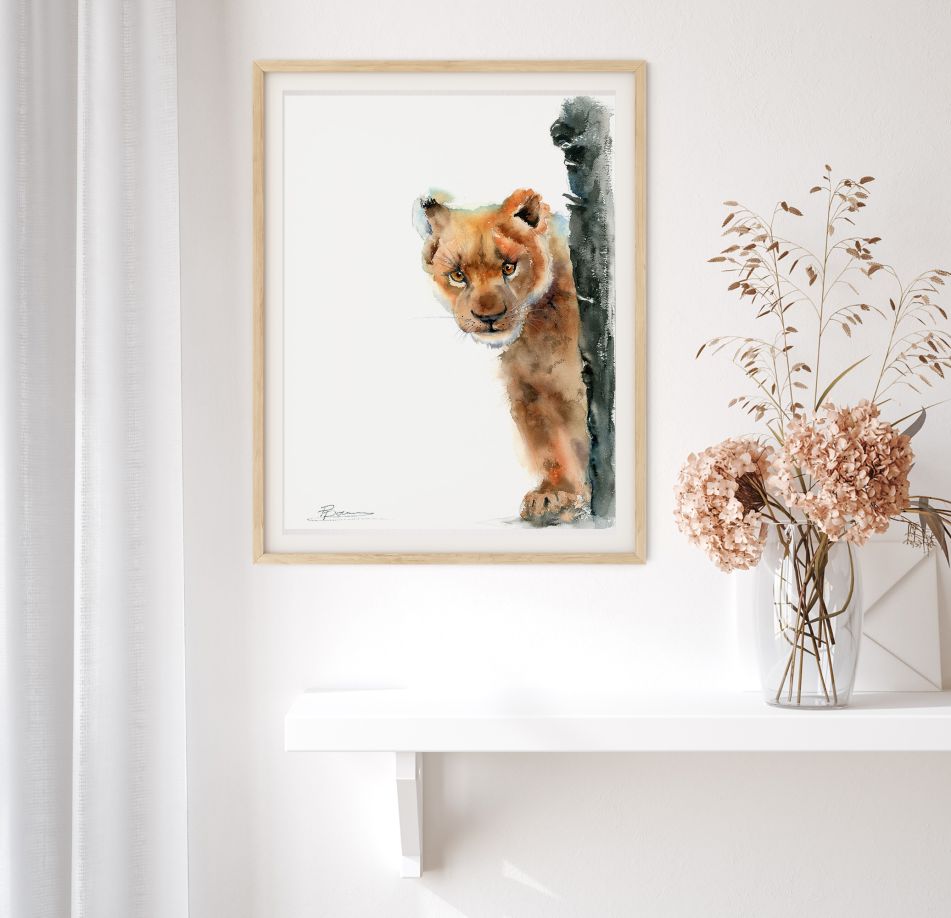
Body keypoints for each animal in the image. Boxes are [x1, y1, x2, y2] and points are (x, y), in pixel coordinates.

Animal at [414, 188, 590, 525]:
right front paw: (553, 493)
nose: (488, 317)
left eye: (509, 268)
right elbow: (550, 448)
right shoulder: (528, 392)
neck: (538, 333)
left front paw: (570, 497)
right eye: (458, 275)